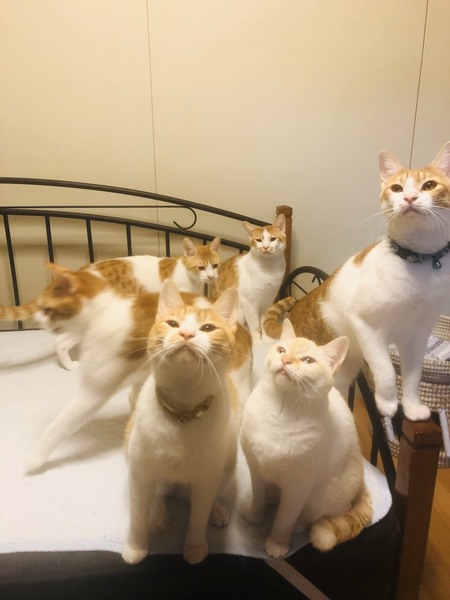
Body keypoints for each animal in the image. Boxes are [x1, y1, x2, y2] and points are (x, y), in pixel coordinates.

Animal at [0, 237, 221, 370]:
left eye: (215, 265)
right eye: (201, 267)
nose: (212, 277)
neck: (187, 274)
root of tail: (77, 274)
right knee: (60, 342)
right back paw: (70, 365)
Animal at [24, 267, 252, 474]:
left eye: (46, 309)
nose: (36, 320)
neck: (101, 312)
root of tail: (244, 331)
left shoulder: (93, 392)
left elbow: (58, 426)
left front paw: (34, 459)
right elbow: (136, 398)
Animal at [122, 281, 242, 565]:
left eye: (208, 328)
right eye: (173, 323)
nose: (186, 333)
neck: (183, 411)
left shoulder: (206, 479)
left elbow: (197, 518)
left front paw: (195, 546)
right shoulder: (141, 471)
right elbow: (138, 516)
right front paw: (135, 546)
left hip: (227, 465)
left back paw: (217, 509)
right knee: (157, 495)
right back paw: (158, 514)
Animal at [240, 319, 372, 559]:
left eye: (308, 360)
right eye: (282, 350)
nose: (285, 360)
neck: (279, 412)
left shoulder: (297, 488)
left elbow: (284, 519)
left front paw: (277, 543)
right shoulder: (257, 469)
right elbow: (259, 496)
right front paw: (255, 515)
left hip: (321, 498)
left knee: (310, 517)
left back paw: (298, 526)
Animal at [263, 142, 450, 422]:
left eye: (429, 185)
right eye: (397, 188)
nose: (409, 198)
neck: (418, 262)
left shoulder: (417, 335)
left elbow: (413, 376)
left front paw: (411, 406)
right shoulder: (367, 326)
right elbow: (385, 369)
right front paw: (387, 403)